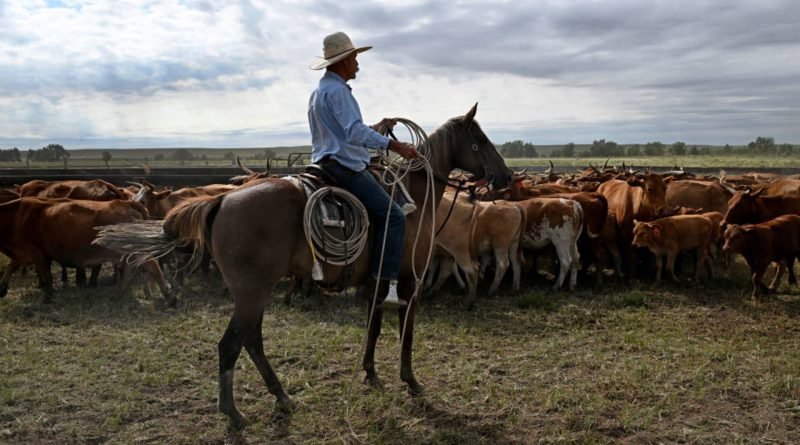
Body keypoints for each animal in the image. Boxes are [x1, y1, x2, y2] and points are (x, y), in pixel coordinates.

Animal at [0, 197, 174, 304]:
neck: (17, 215)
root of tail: (129, 203)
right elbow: (11, 265)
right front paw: (2, 288)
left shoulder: (38, 254)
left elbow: (45, 277)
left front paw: (47, 298)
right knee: (132, 271)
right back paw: (119, 294)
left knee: (151, 265)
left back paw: (169, 295)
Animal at [95, 103, 512, 429]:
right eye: (481, 140)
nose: (505, 177)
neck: (414, 197)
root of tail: (221, 200)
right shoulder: (409, 279)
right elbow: (405, 332)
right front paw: (410, 380)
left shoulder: (379, 281)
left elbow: (375, 327)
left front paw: (370, 373)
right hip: (252, 291)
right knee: (232, 343)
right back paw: (233, 412)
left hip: (254, 292)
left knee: (250, 340)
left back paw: (280, 397)